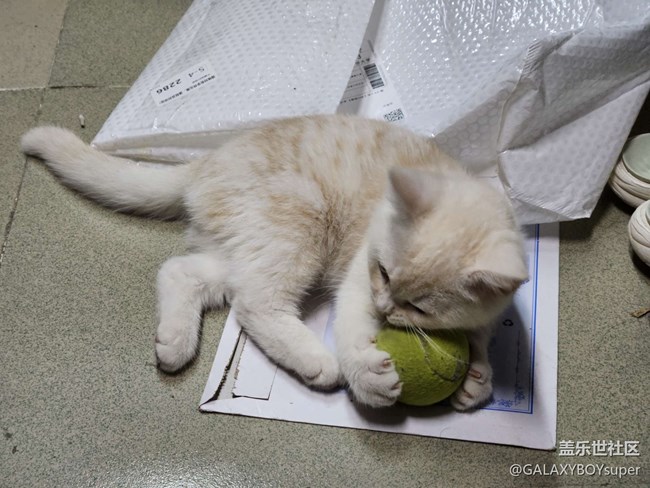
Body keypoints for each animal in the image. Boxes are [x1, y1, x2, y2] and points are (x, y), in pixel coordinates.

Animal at [21, 114, 527, 410]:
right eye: (383, 273)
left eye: (420, 308)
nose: (386, 309)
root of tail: (205, 163)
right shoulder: (359, 277)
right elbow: (352, 323)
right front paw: (367, 374)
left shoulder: (486, 313)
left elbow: (479, 338)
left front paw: (477, 379)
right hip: (299, 220)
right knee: (255, 303)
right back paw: (317, 361)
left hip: (245, 246)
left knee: (184, 273)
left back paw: (174, 342)